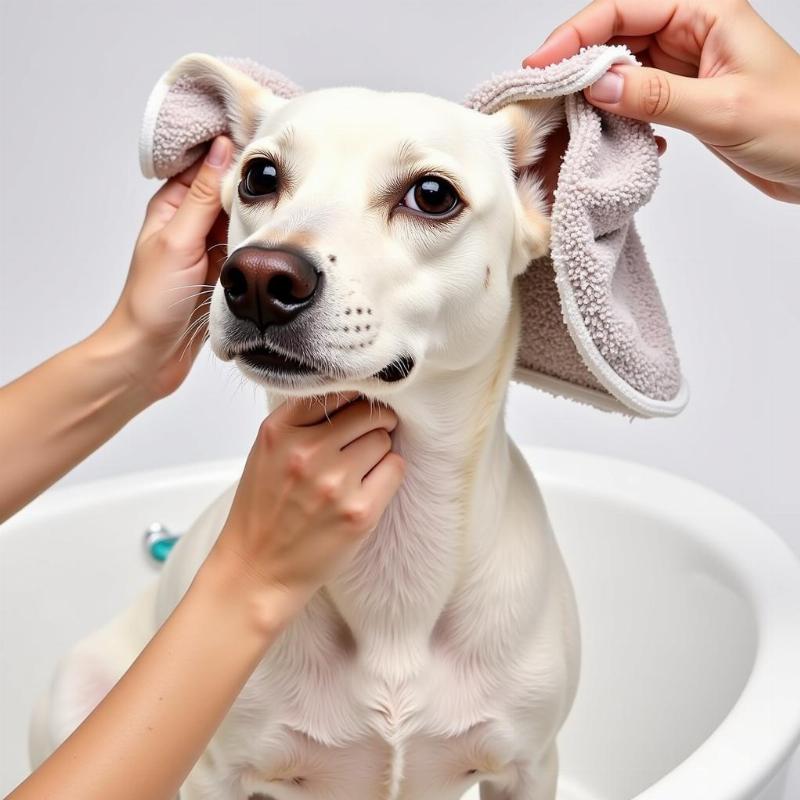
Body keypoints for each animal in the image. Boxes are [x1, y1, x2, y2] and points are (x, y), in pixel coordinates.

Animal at [31, 56, 580, 800]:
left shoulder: (530, 764)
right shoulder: (215, 776)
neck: (396, 562)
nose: (260, 278)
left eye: (432, 194)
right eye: (259, 176)